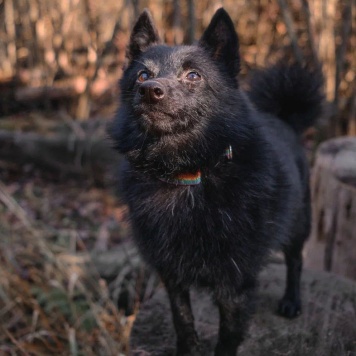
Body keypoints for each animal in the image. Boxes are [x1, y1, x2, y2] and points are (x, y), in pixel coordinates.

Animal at [110, 6, 324, 354]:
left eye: (193, 75)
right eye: (141, 75)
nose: (150, 90)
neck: (187, 173)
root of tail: (285, 119)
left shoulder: (235, 283)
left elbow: (228, 336)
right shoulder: (171, 272)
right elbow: (182, 320)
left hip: (299, 221)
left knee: (295, 261)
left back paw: (291, 301)